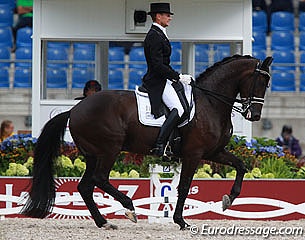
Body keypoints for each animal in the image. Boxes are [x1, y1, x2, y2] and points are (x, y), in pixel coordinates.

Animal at [22, 54, 274, 231]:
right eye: (260, 81)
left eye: (268, 83)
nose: (254, 115)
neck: (210, 103)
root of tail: (74, 109)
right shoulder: (194, 154)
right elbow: (184, 187)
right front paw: (181, 221)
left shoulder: (214, 151)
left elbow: (241, 166)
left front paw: (228, 200)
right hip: (109, 149)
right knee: (99, 179)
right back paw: (129, 208)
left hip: (93, 154)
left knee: (85, 186)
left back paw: (104, 222)